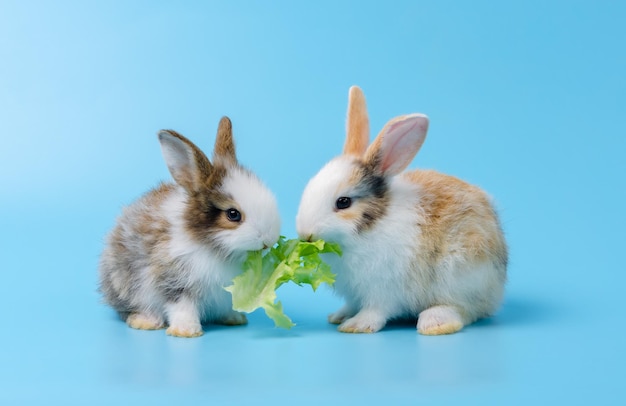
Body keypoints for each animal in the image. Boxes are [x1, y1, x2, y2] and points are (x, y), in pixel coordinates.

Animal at [98, 116, 280, 336]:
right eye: (233, 214)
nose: (268, 240)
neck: (213, 248)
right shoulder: (174, 280)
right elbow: (181, 305)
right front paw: (186, 331)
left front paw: (235, 319)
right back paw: (145, 322)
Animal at [294, 85, 504, 334]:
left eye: (343, 202)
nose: (305, 234)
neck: (372, 227)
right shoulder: (354, 293)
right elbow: (353, 303)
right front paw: (340, 316)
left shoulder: (382, 290)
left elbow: (375, 310)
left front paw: (356, 325)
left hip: (461, 274)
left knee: (465, 310)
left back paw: (435, 322)